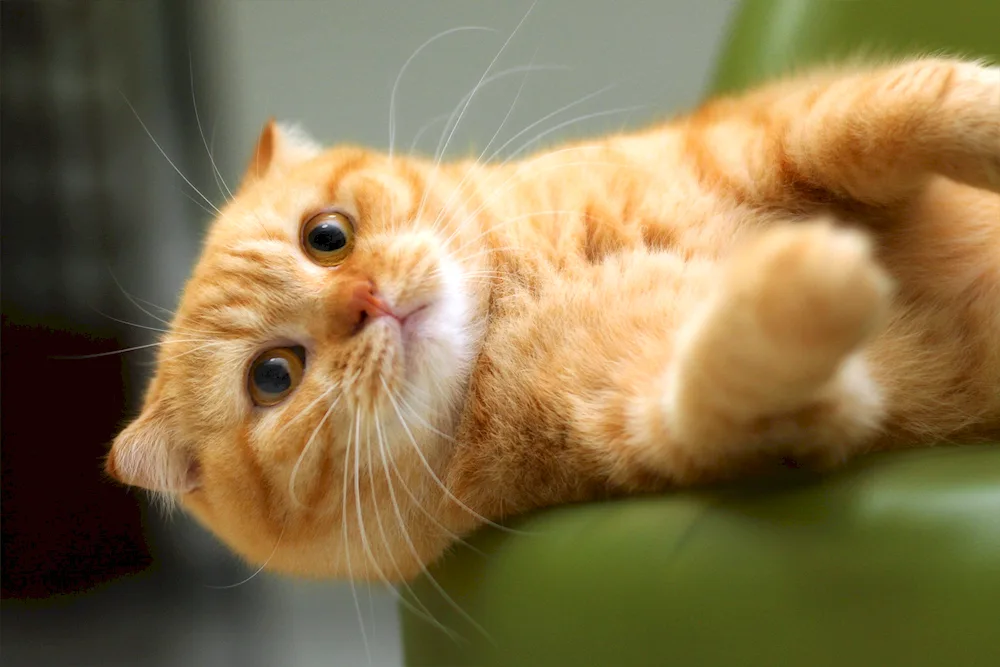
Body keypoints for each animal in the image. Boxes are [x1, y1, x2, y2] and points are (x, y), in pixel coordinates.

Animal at [105, 60, 996, 580]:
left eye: (326, 236)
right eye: (272, 376)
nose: (365, 302)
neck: (519, 298)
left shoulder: (772, 131)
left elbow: (885, 113)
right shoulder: (679, 417)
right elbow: (730, 366)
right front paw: (805, 280)